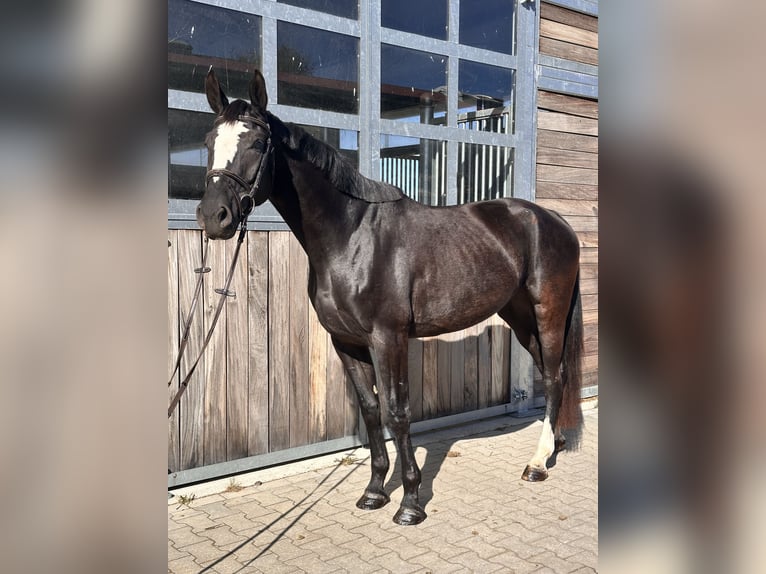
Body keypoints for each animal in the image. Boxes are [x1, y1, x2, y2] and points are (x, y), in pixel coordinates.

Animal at [196, 68, 584, 526]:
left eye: (256, 143)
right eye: (208, 141)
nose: (213, 217)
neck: (351, 236)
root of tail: (553, 219)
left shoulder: (389, 338)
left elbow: (397, 412)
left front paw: (411, 503)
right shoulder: (346, 342)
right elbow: (370, 411)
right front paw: (374, 491)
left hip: (548, 312)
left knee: (555, 377)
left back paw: (537, 463)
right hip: (520, 317)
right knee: (551, 373)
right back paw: (552, 446)